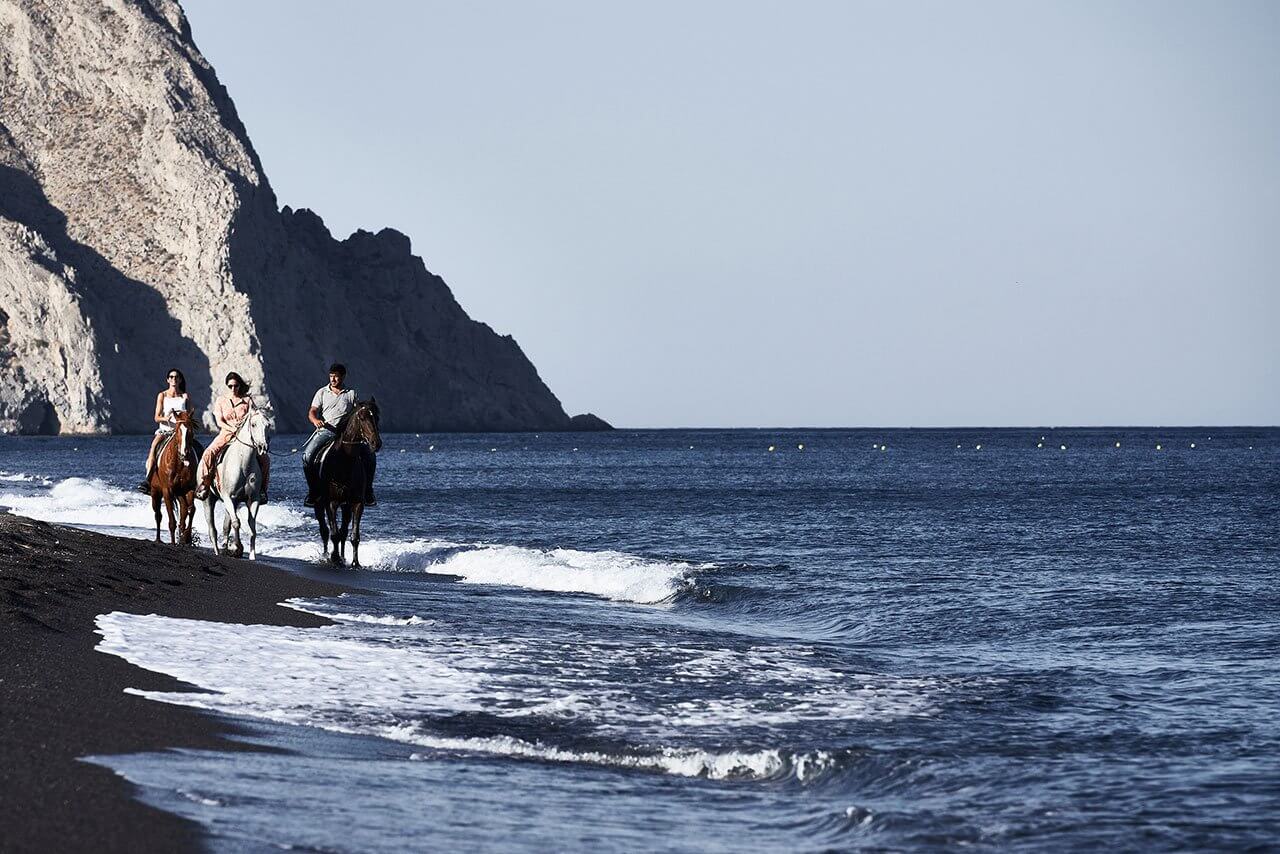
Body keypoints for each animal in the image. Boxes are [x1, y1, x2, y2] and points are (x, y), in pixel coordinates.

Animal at [149, 409, 199, 545]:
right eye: (177, 431)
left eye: (191, 430)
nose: (184, 454)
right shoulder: (167, 491)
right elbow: (171, 519)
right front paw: (173, 542)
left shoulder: (189, 489)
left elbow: (191, 510)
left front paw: (186, 537)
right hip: (155, 492)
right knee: (158, 515)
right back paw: (158, 539)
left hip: (180, 493)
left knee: (183, 510)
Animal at [200, 407, 268, 560]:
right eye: (253, 424)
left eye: (267, 425)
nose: (263, 447)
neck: (243, 463)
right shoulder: (227, 497)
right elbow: (237, 523)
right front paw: (236, 547)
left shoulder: (253, 499)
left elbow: (251, 527)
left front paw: (252, 555)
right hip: (208, 500)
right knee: (212, 529)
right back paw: (217, 551)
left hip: (234, 502)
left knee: (226, 526)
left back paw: (225, 546)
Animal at [317, 402, 381, 568]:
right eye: (362, 418)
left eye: (377, 417)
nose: (376, 443)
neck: (344, 463)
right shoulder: (331, 502)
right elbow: (333, 534)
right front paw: (334, 558)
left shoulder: (357, 503)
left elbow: (353, 535)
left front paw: (355, 562)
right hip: (319, 503)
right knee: (324, 530)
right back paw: (326, 556)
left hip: (346, 505)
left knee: (343, 531)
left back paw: (342, 557)